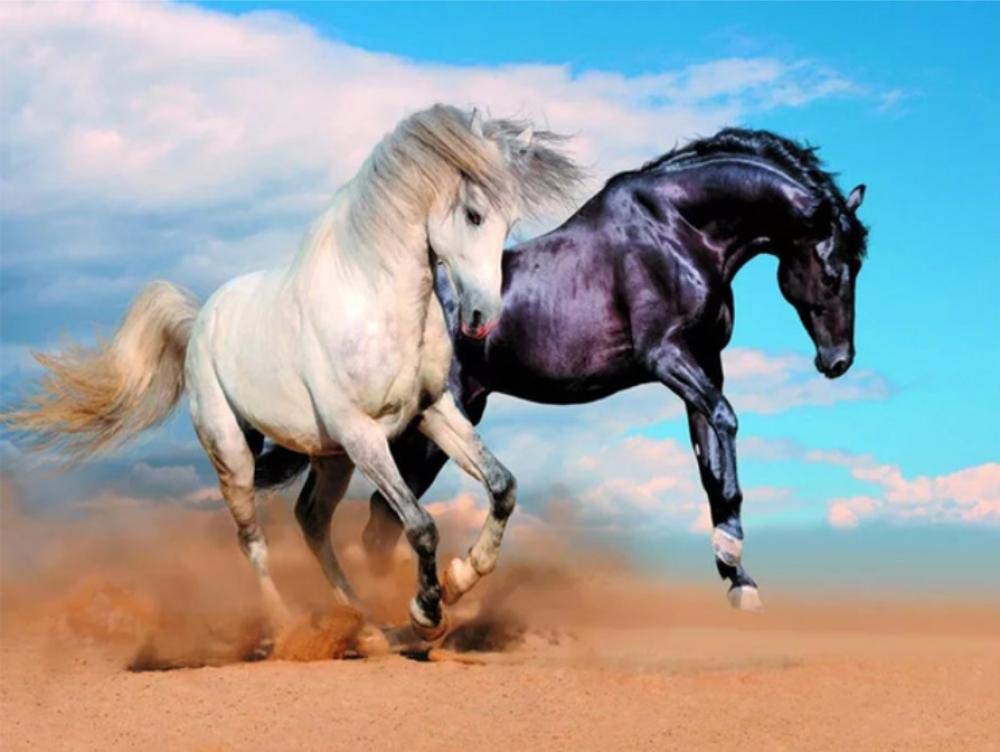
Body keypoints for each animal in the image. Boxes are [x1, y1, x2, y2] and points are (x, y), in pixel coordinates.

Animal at [4, 104, 583, 649]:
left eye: (510, 220)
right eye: (474, 213)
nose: (482, 318)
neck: (378, 303)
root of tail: (199, 321)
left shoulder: (430, 411)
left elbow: (502, 486)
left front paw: (464, 577)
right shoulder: (362, 433)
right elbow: (419, 524)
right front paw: (427, 614)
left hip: (331, 459)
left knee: (311, 521)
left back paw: (363, 625)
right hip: (236, 453)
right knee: (253, 539)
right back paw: (287, 627)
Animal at [257, 127, 869, 613]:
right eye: (833, 269)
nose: (837, 362)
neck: (680, 230)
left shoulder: (704, 367)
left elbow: (714, 466)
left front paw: (738, 578)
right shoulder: (667, 357)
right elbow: (727, 422)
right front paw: (731, 556)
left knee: (382, 521)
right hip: (425, 432)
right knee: (381, 520)